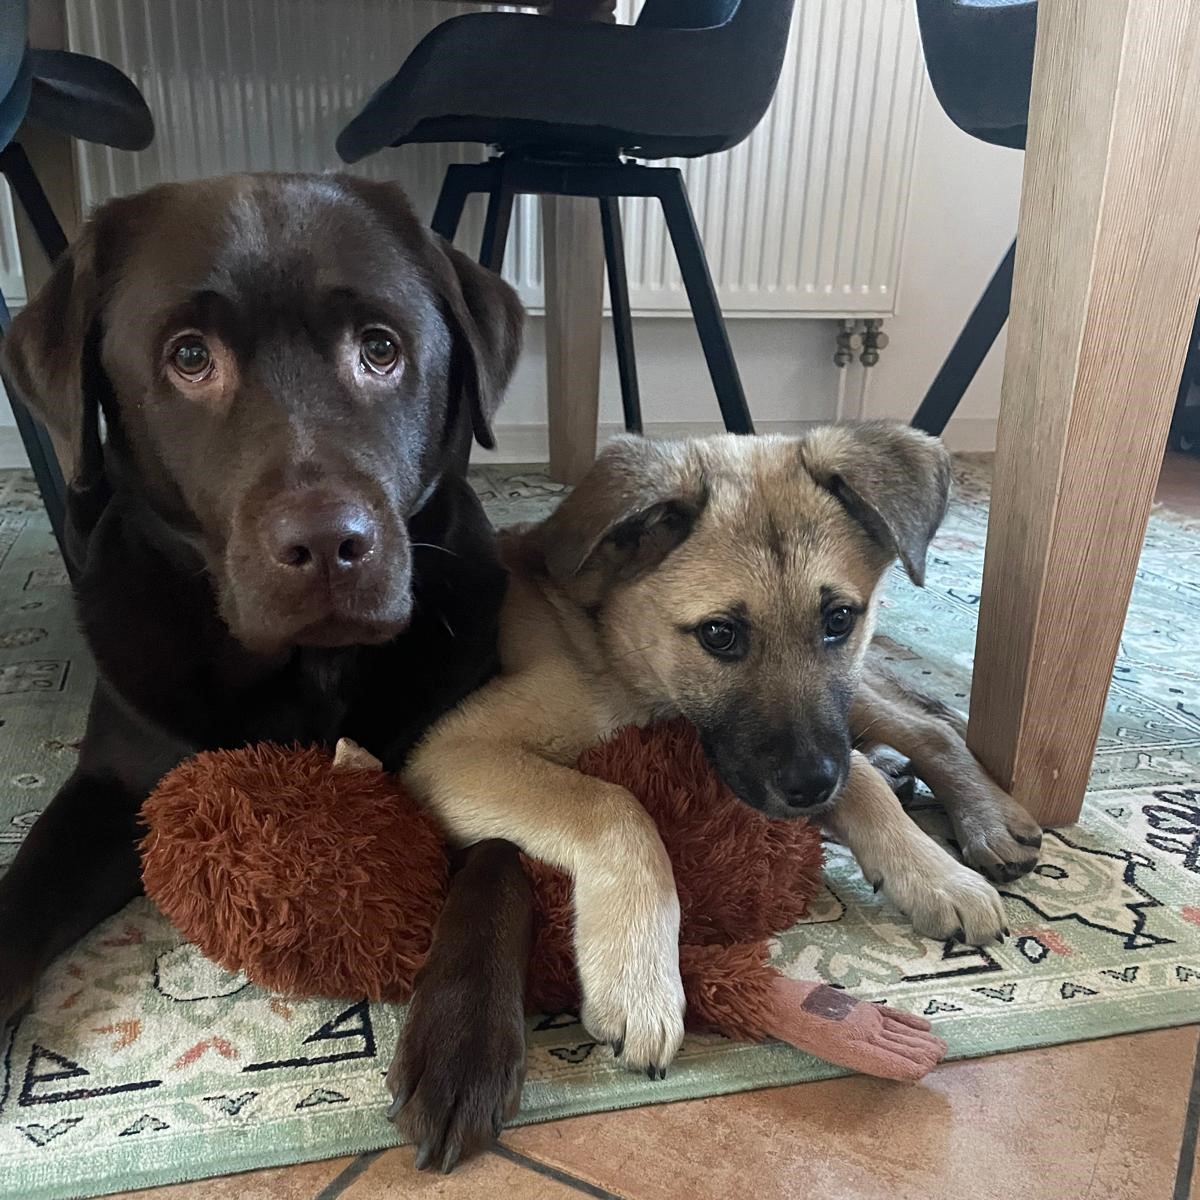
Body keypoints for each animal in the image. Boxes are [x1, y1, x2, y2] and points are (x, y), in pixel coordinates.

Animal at [0, 172, 533, 1158]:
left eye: (380, 348)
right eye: (189, 357)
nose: (329, 544)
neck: (310, 671)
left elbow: (501, 857)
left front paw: (465, 1036)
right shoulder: (113, 782)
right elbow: (24, 889)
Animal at [399, 424, 1043, 1143]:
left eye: (839, 620)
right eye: (719, 634)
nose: (810, 789)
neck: (618, 655)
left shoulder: (793, 746)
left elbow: (862, 781)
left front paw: (933, 873)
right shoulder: (455, 750)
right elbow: (614, 803)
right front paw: (639, 975)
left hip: (856, 703)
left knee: (929, 726)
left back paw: (987, 817)